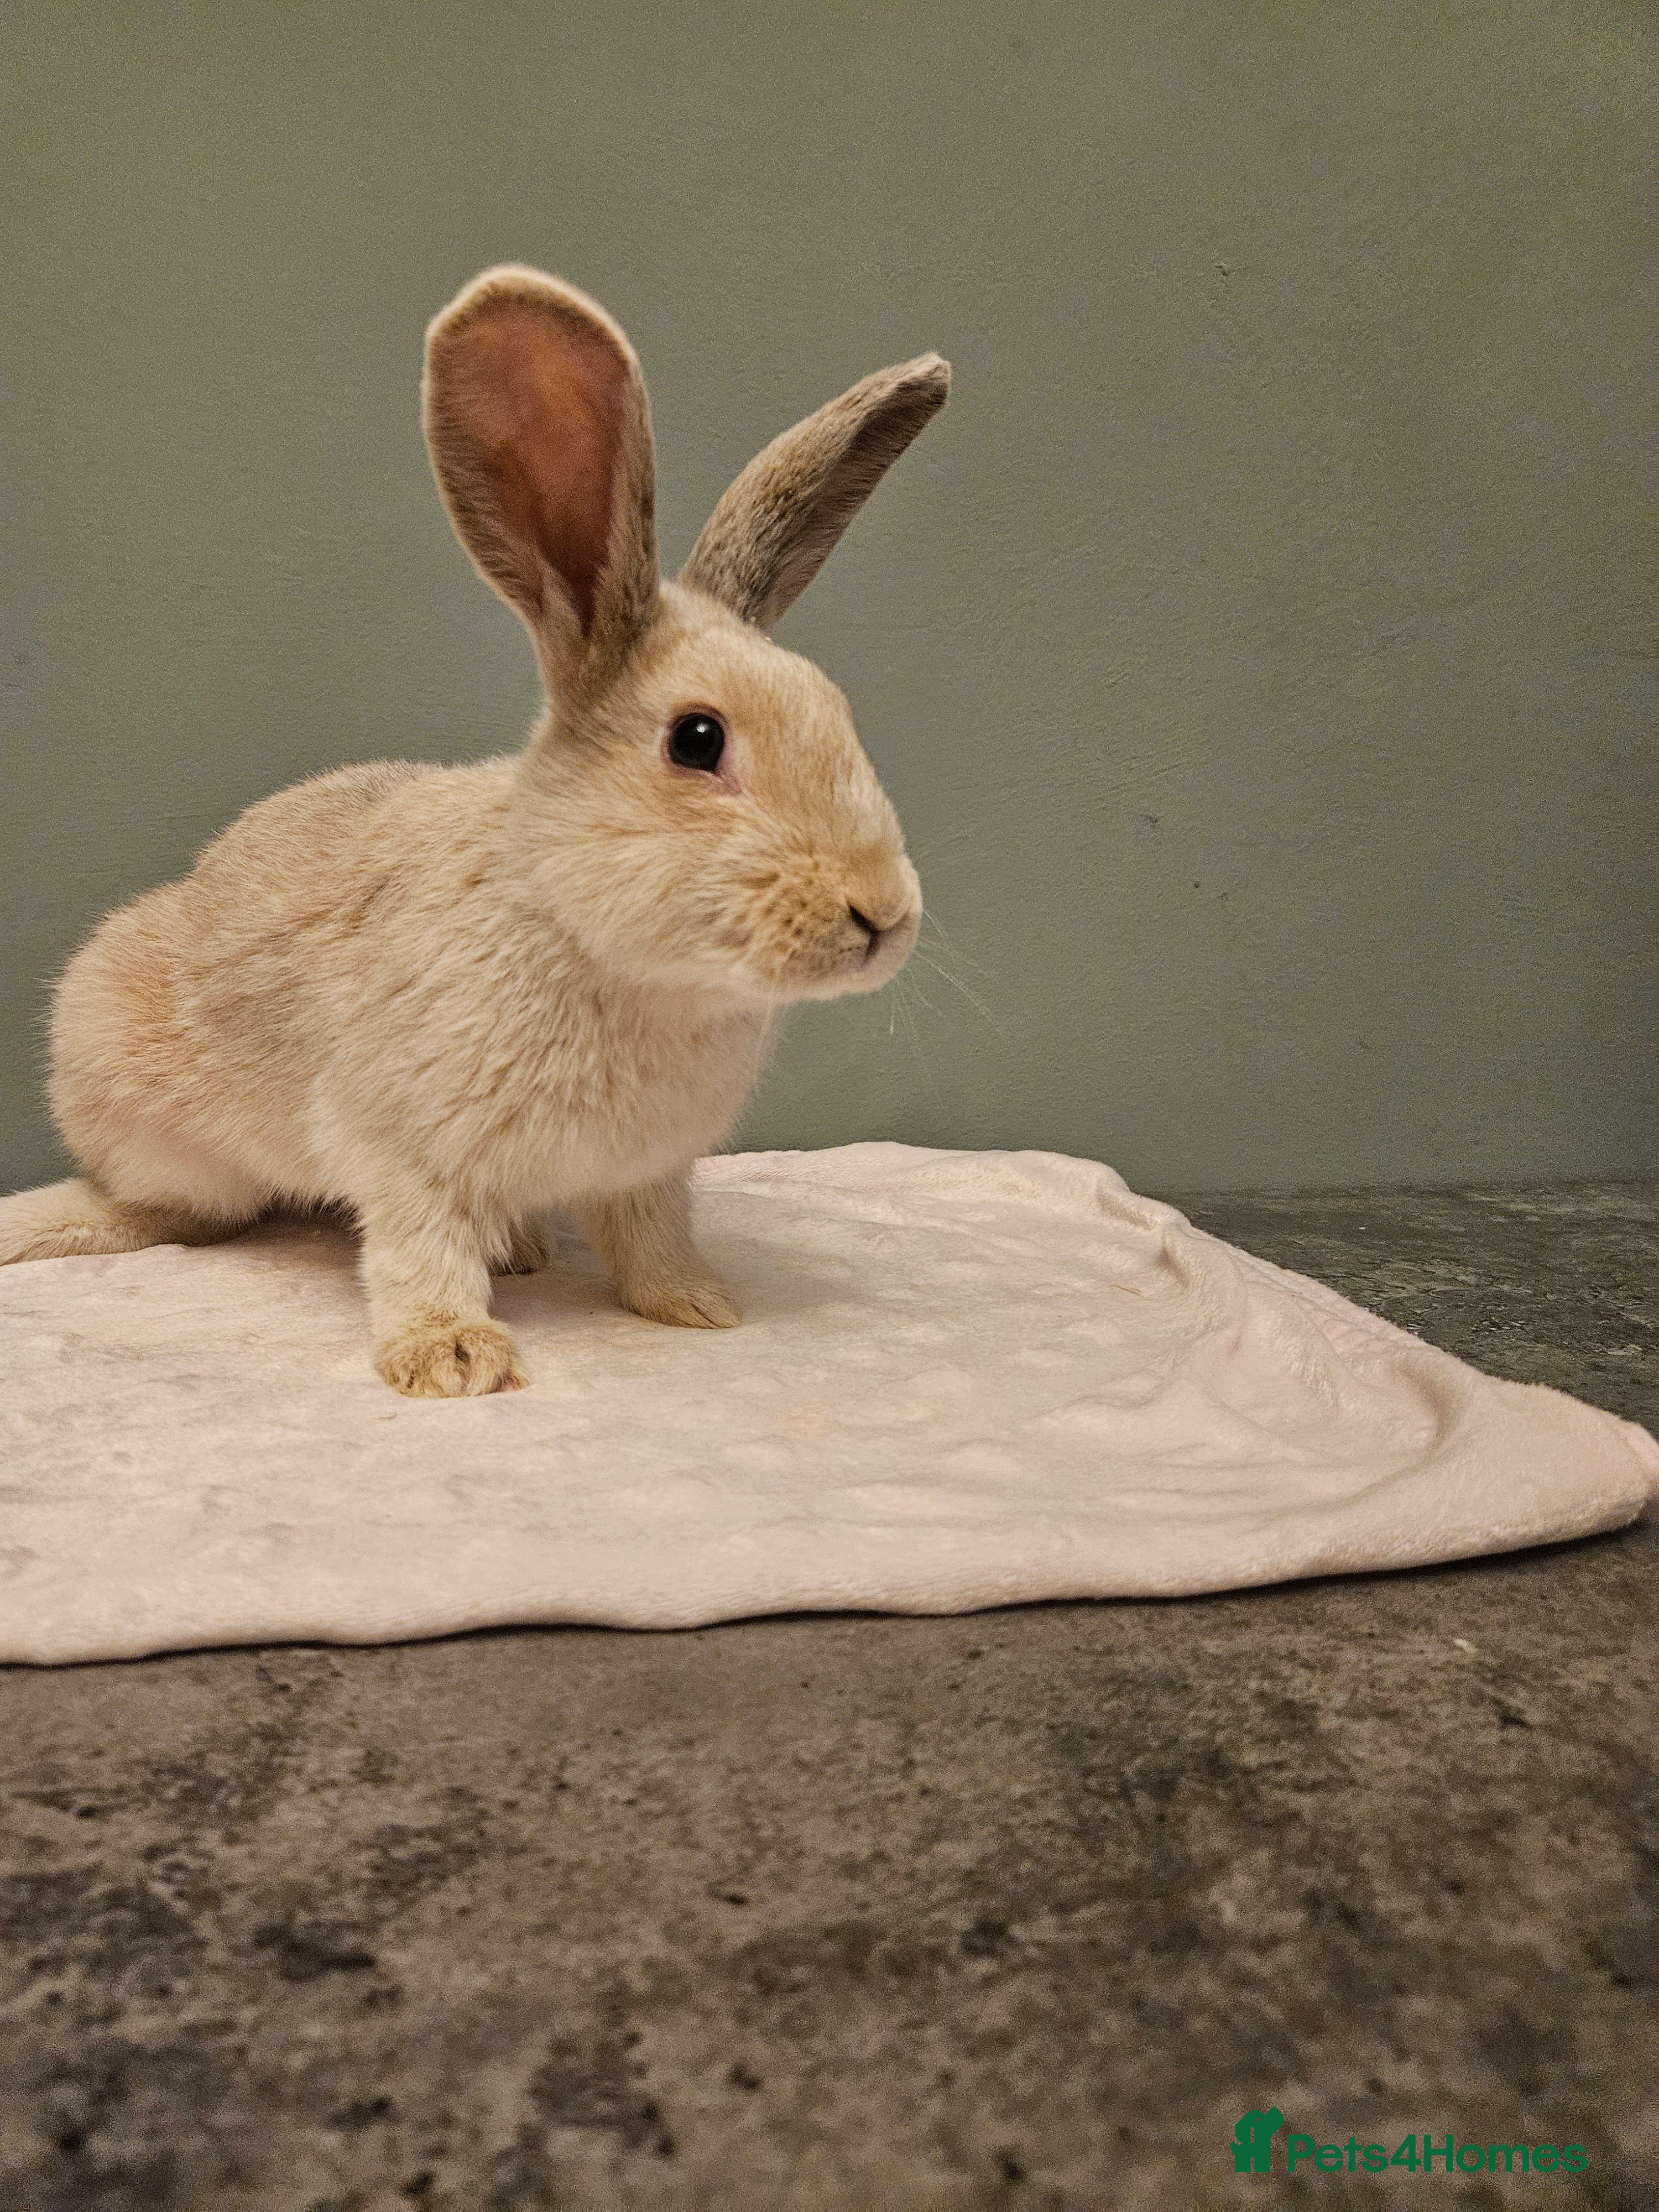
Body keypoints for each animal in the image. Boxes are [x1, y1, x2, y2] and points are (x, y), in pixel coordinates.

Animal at [0, 264, 949, 1396]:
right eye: (698, 740)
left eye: (838, 711)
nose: (884, 916)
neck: (587, 938)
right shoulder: (400, 1148)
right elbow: (418, 1251)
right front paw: (452, 1361)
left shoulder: (646, 1175)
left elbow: (652, 1241)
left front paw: (696, 1306)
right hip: (157, 1129)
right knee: (172, 1209)